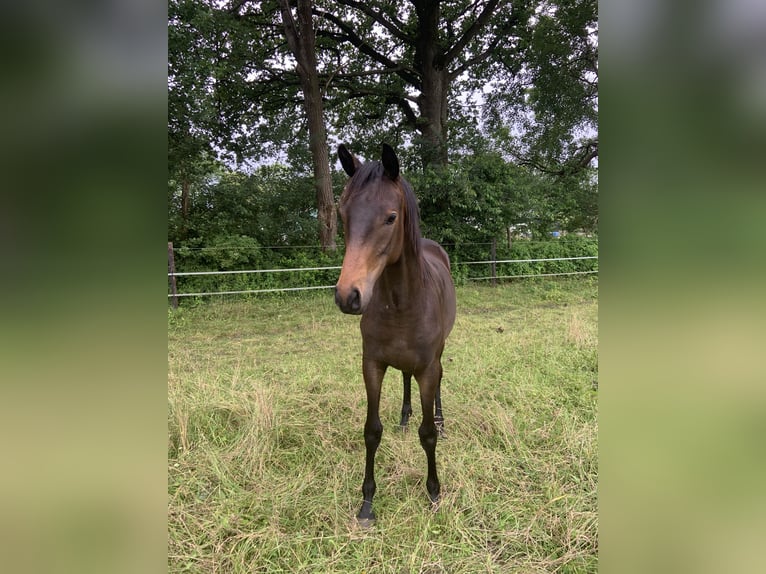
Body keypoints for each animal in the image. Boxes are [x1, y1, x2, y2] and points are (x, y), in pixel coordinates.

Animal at [334, 143, 456, 528]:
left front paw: (434, 493)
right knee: (404, 378)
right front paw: (367, 503)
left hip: (438, 355)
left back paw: (441, 421)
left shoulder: (428, 367)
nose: (348, 295)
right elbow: (372, 431)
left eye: (390, 217)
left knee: (441, 382)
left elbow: (427, 435)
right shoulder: (372, 364)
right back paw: (404, 416)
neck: (402, 303)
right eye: (343, 214)